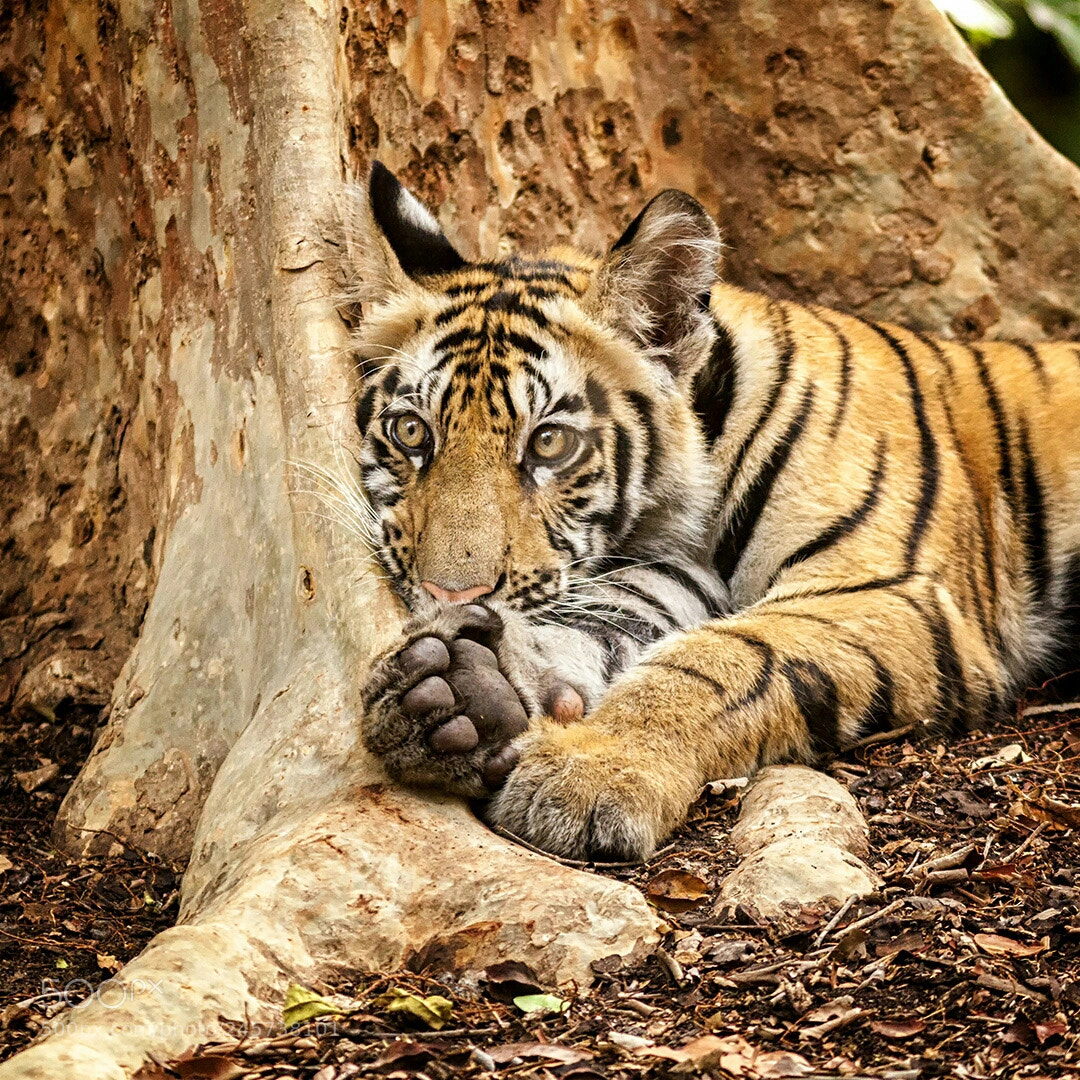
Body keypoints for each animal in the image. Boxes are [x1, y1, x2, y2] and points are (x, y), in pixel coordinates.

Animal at [350, 160, 1080, 862]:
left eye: (550, 442)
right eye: (411, 432)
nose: (449, 593)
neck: (694, 493)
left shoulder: (891, 590)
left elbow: (720, 659)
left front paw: (591, 772)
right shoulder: (673, 570)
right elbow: (610, 616)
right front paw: (467, 691)